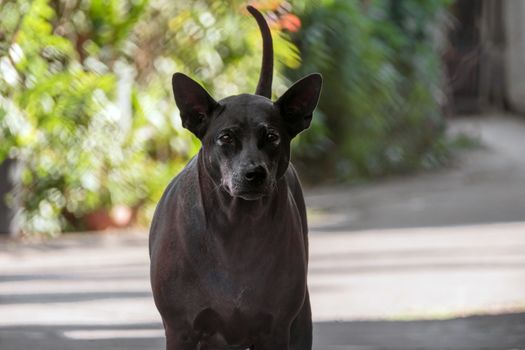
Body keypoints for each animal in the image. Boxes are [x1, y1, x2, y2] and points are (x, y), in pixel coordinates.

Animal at [149, 6, 322, 350]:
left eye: (272, 136)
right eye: (226, 138)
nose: (253, 173)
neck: (235, 228)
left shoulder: (275, 330)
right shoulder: (180, 330)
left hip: (300, 322)